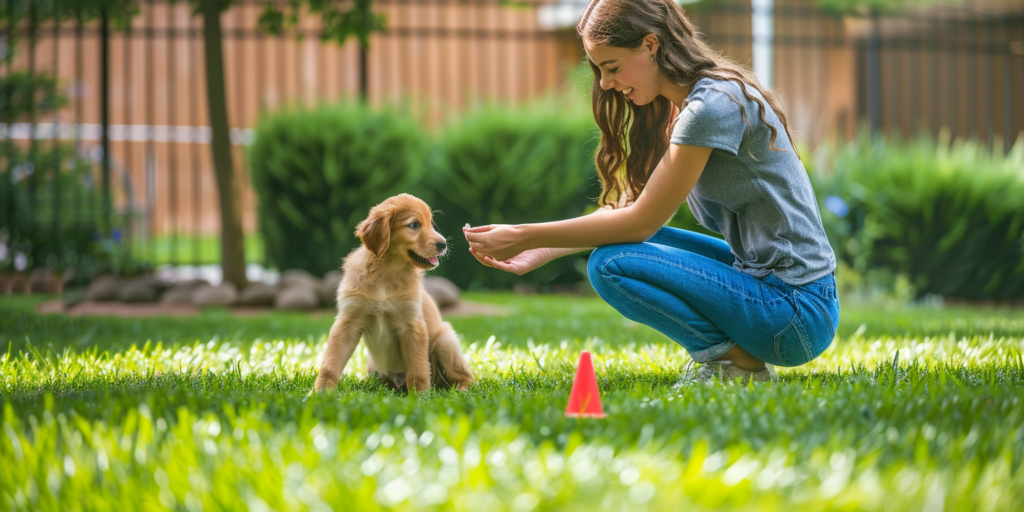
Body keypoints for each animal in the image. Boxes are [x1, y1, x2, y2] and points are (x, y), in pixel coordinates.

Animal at [311, 193, 475, 393]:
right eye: (414, 225)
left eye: (431, 224)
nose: (443, 245)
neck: (386, 272)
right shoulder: (348, 323)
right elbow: (330, 366)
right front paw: (320, 393)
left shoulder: (412, 324)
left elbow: (418, 370)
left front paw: (420, 395)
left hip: (445, 340)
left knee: (467, 376)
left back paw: (462, 389)